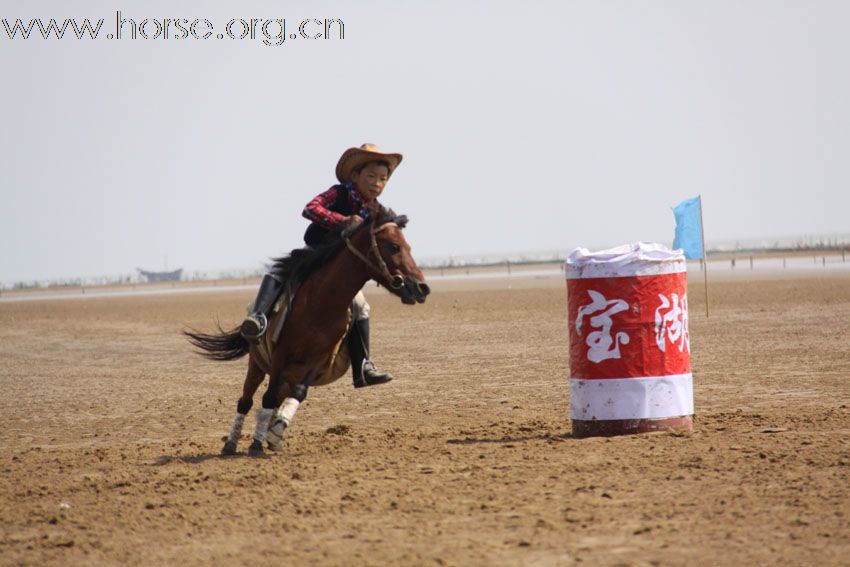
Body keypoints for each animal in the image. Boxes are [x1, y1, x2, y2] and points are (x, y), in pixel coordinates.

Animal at [182, 207, 428, 458]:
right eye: (394, 246)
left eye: (408, 246)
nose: (422, 288)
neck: (321, 303)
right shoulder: (281, 353)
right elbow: (267, 397)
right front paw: (256, 444)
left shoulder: (319, 358)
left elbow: (298, 393)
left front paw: (276, 432)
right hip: (258, 363)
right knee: (246, 400)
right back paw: (231, 443)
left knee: (278, 395)